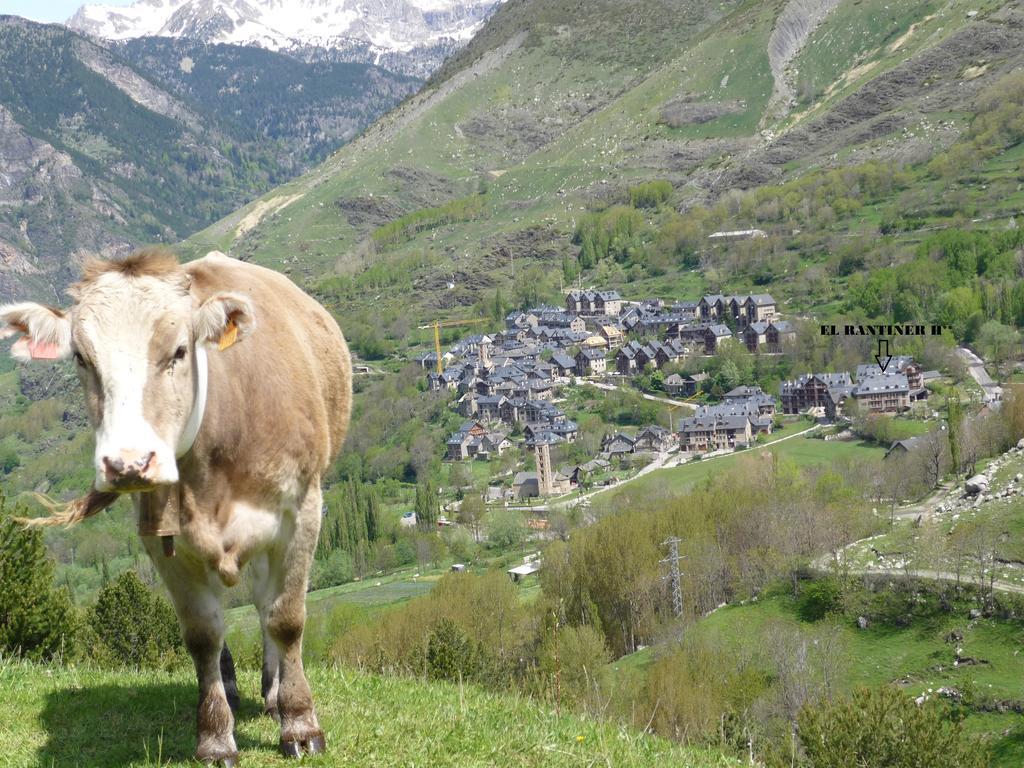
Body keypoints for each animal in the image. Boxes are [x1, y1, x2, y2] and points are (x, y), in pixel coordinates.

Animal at [0, 249, 352, 765]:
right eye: (82, 358)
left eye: (180, 351)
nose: (128, 463)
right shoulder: (162, 538)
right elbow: (202, 634)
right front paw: (215, 736)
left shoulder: (301, 510)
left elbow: (286, 618)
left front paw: (300, 724)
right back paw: (231, 688)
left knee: (265, 602)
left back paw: (272, 693)